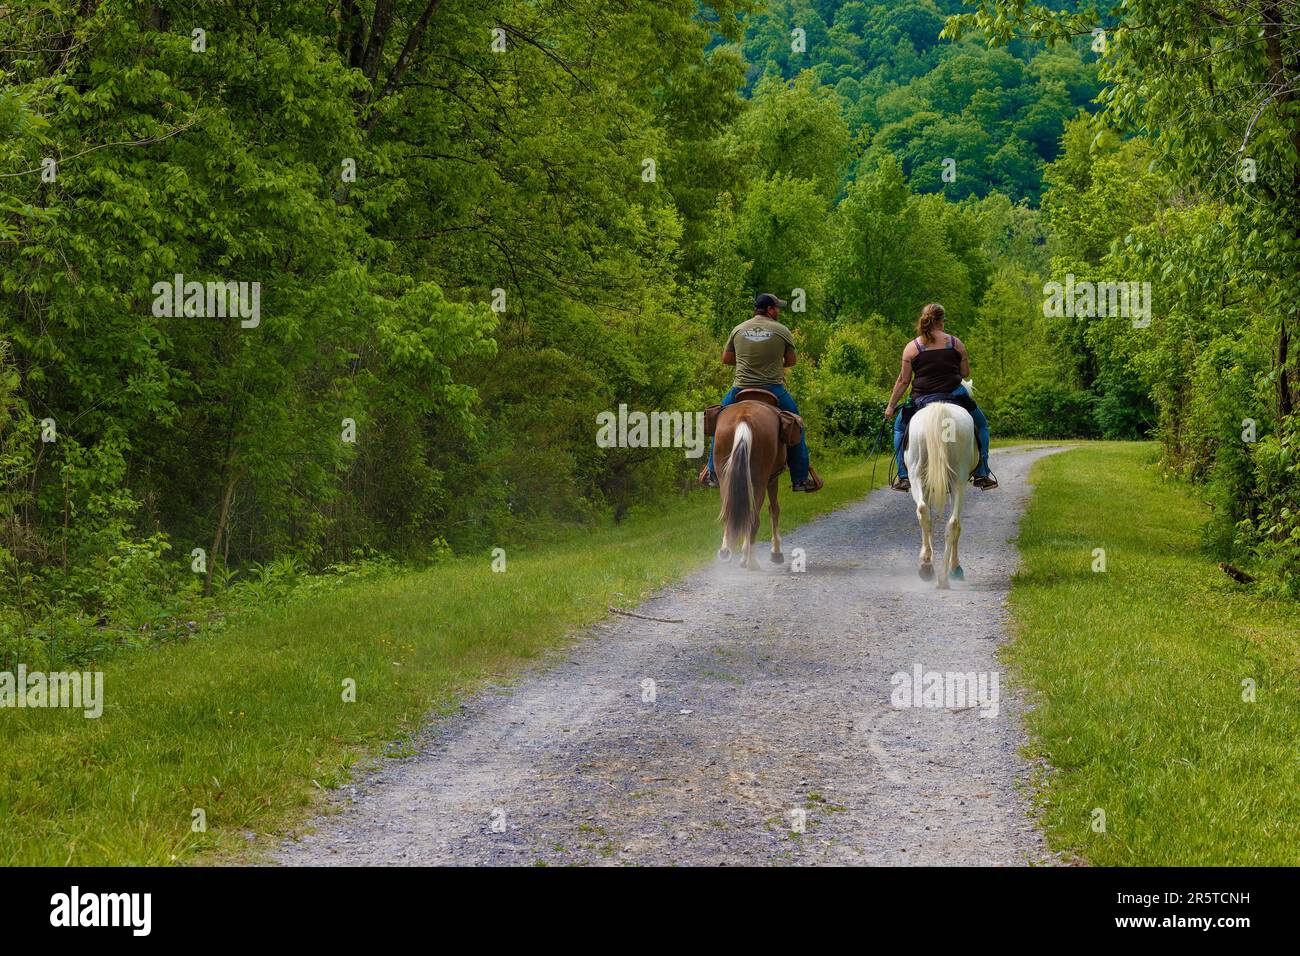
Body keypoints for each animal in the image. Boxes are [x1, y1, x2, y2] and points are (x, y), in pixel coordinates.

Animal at [712, 395, 780, 567]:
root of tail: (744, 420)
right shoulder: (773, 478)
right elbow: (774, 509)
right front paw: (776, 552)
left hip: (725, 480)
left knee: (729, 514)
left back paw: (725, 552)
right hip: (760, 482)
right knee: (754, 519)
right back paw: (752, 562)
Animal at [904, 395, 977, 590]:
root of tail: (941, 410)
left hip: (918, 476)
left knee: (925, 512)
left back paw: (930, 568)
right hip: (957, 482)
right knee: (951, 522)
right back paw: (942, 575)